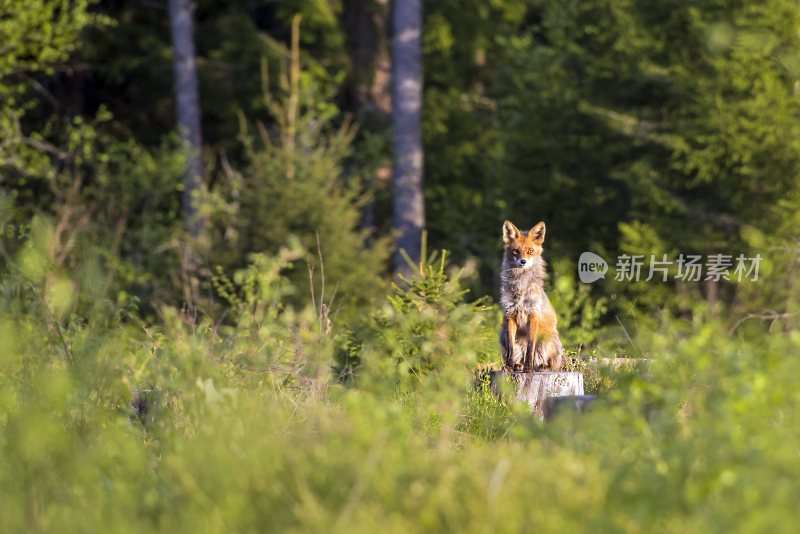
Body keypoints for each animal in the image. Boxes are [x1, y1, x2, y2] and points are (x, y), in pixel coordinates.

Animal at [500, 221, 564, 372]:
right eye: (515, 251)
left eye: (530, 251)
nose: (523, 261)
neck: (521, 288)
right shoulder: (510, 315)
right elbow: (511, 349)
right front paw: (509, 367)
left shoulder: (533, 315)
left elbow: (530, 348)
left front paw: (528, 369)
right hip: (503, 333)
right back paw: (518, 365)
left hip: (548, 339)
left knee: (550, 363)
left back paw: (541, 366)